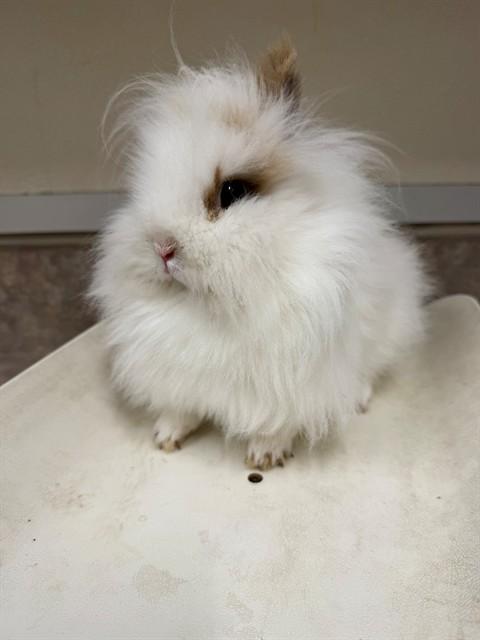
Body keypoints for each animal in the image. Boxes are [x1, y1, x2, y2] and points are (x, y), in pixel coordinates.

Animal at [91, 39, 429, 471]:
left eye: (231, 191)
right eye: (140, 189)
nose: (162, 247)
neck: (211, 308)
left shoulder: (295, 380)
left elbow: (279, 419)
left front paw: (265, 455)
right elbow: (181, 407)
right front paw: (165, 437)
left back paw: (359, 398)